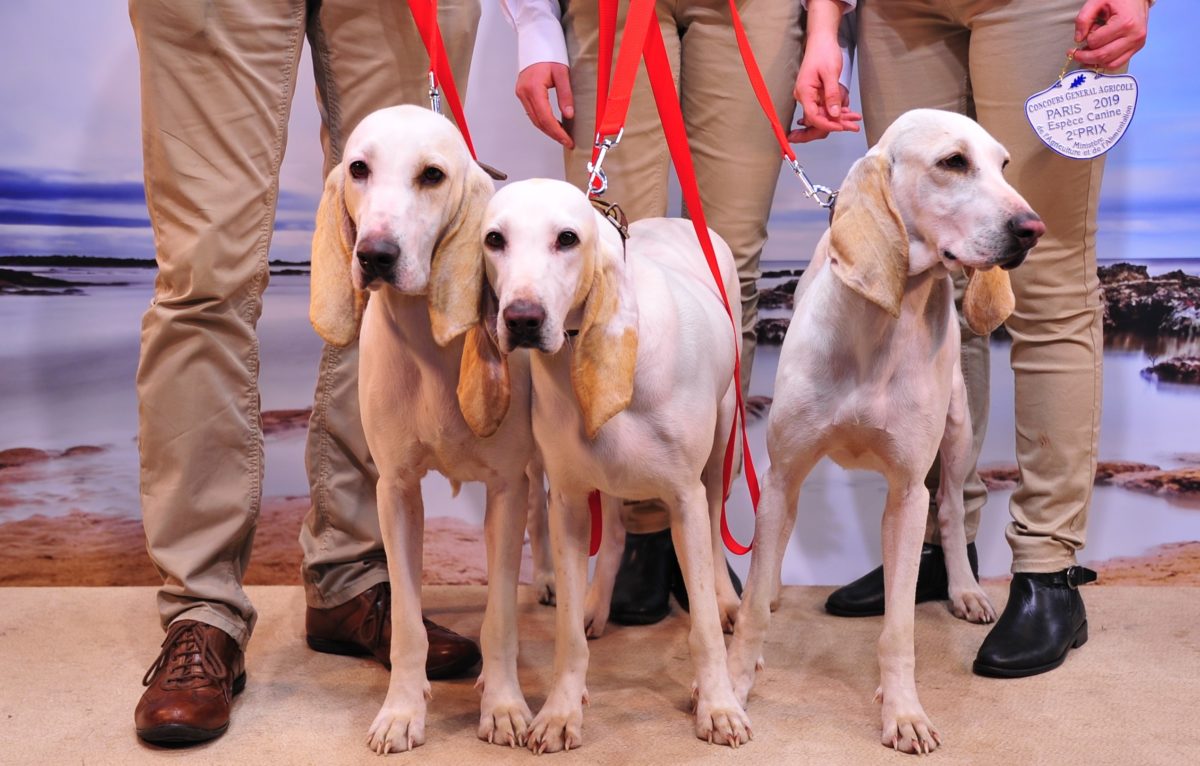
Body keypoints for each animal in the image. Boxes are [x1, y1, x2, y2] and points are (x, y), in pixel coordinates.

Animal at [314, 106, 549, 758]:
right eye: (358, 168)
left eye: (433, 176)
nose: (375, 254)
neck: (426, 338)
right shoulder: (395, 492)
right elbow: (407, 626)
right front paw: (401, 711)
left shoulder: (506, 489)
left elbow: (499, 616)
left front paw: (503, 705)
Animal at [456, 181, 748, 758]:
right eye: (494, 239)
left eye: (567, 238)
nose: (522, 318)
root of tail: (676, 221)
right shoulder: (568, 502)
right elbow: (567, 634)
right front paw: (561, 711)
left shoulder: (683, 500)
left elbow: (702, 624)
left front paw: (718, 704)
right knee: (612, 533)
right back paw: (596, 604)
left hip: (721, 446)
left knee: (714, 524)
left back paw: (726, 602)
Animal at [724, 108, 1046, 758]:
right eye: (954, 162)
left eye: (1003, 164)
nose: (1032, 229)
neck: (881, 323)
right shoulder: (783, 475)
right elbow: (751, 613)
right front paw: (736, 688)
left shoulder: (905, 493)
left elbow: (898, 627)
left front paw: (903, 713)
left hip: (956, 435)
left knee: (952, 510)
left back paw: (965, 588)